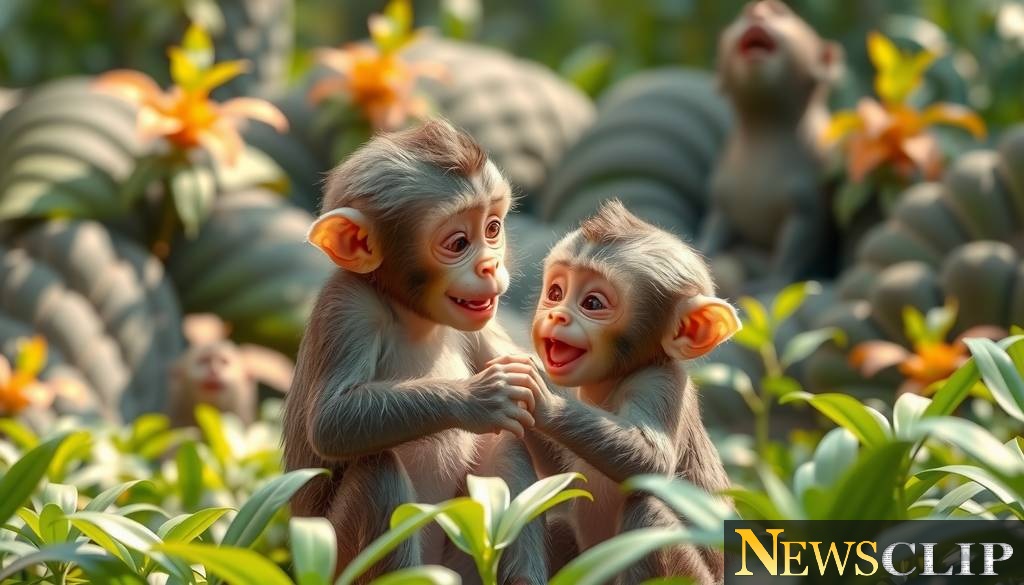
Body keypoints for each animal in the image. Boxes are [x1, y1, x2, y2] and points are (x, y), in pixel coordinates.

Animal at [282, 119, 547, 585]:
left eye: (492, 229)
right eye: (459, 242)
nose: (491, 266)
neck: (412, 316)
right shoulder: (347, 308)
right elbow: (331, 421)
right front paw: (482, 397)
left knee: (506, 449)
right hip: (337, 559)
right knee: (378, 473)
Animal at [506, 200, 738, 584]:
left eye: (593, 303)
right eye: (555, 293)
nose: (555, 316)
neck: (611, 384)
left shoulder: (659, 382)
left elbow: (649, 459)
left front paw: (542, 396)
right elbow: (560, 469)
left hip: (694, 576)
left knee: (649, 511)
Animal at [699, 0, 844, 297]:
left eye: (781, 13)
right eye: (742, 16)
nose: (758, 8)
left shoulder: (809, 191)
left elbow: (803, 234)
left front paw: (774, 281)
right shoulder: (723, 190)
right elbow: (717, 223)